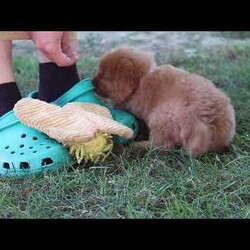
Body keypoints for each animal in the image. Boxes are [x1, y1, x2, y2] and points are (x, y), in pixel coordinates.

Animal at [93, 47, 235, 156]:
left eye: (103, 75)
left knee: (162, 145)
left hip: (162, 116)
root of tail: (210, 126)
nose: (92, 83)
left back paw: (137, 145)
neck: (141, 79)